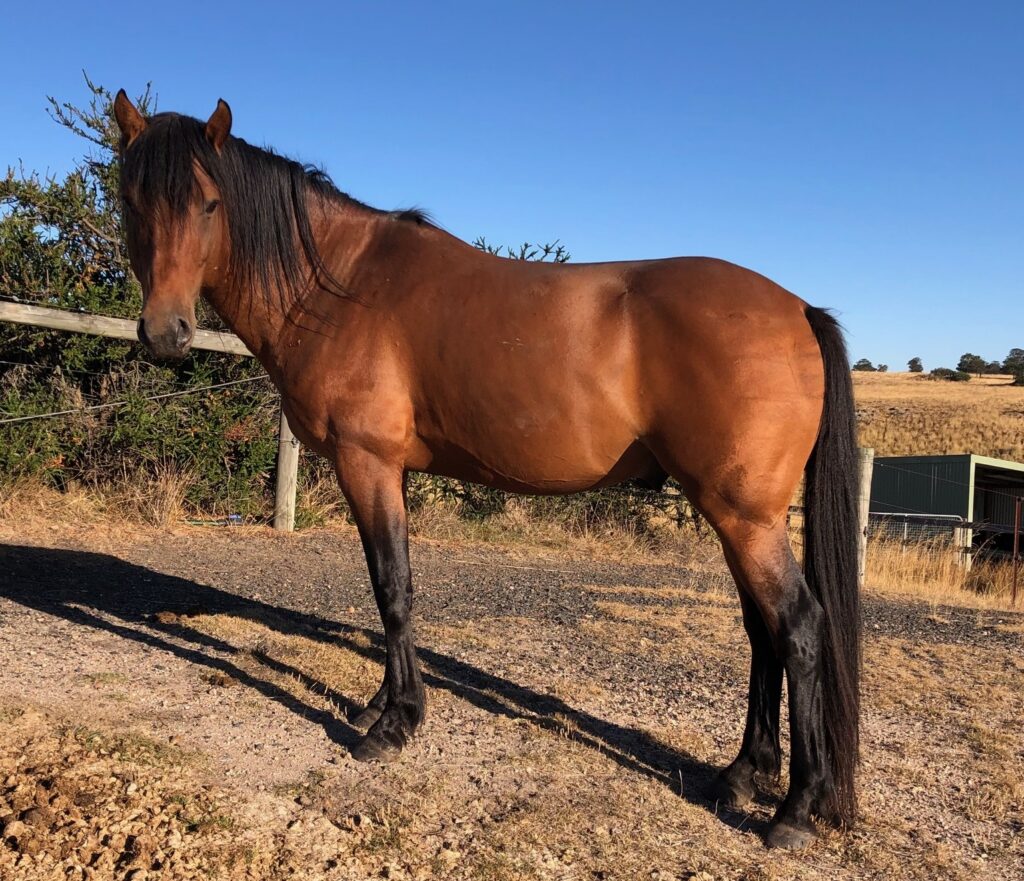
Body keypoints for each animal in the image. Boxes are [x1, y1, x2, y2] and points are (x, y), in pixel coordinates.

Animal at [113, 91, 860, 850]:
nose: (165, 333)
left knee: (798, 626)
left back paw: (795, 809)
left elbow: (392, 588)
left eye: (209, 203)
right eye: (131, 199)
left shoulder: (366, 462)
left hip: (744, 516)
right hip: (739, 516)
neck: (339, 286)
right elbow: (392, 588)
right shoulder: (390, 470)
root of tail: (798, 308)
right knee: (761, 630)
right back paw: (741, 774)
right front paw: (379, 705)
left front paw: (394, 724)